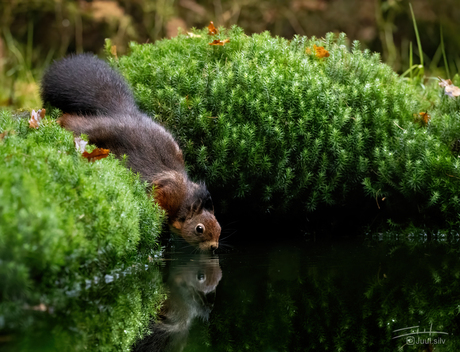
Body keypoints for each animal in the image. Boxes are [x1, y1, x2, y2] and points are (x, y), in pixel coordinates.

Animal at [40, 53, 221, 252]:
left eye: (219, 226)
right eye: (199, 229)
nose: (214, 247)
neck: (184, 199)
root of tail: (122, 112)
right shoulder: (167, 193)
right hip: (96, 130)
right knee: (75, 123)